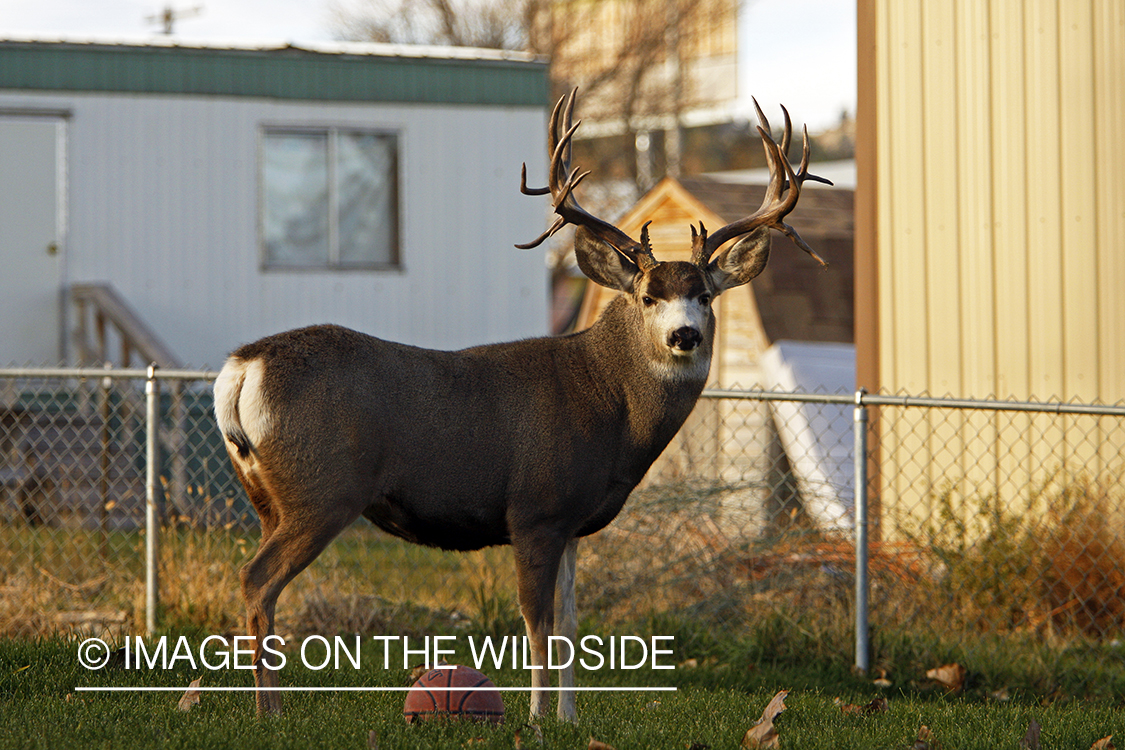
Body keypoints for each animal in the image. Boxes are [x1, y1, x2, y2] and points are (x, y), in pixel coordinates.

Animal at [212, 89, 827, 720]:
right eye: (648, 297)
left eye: (704, 295)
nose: (685, 335)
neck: (609, 407)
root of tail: (243, 367)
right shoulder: (536, 507)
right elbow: (537, 621)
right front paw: (534, 718)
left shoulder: (575, 522)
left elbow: (573, 624)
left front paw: (568, 717)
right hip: (322, 487)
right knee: (257, 578)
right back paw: (269, 711)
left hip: (270, 497)